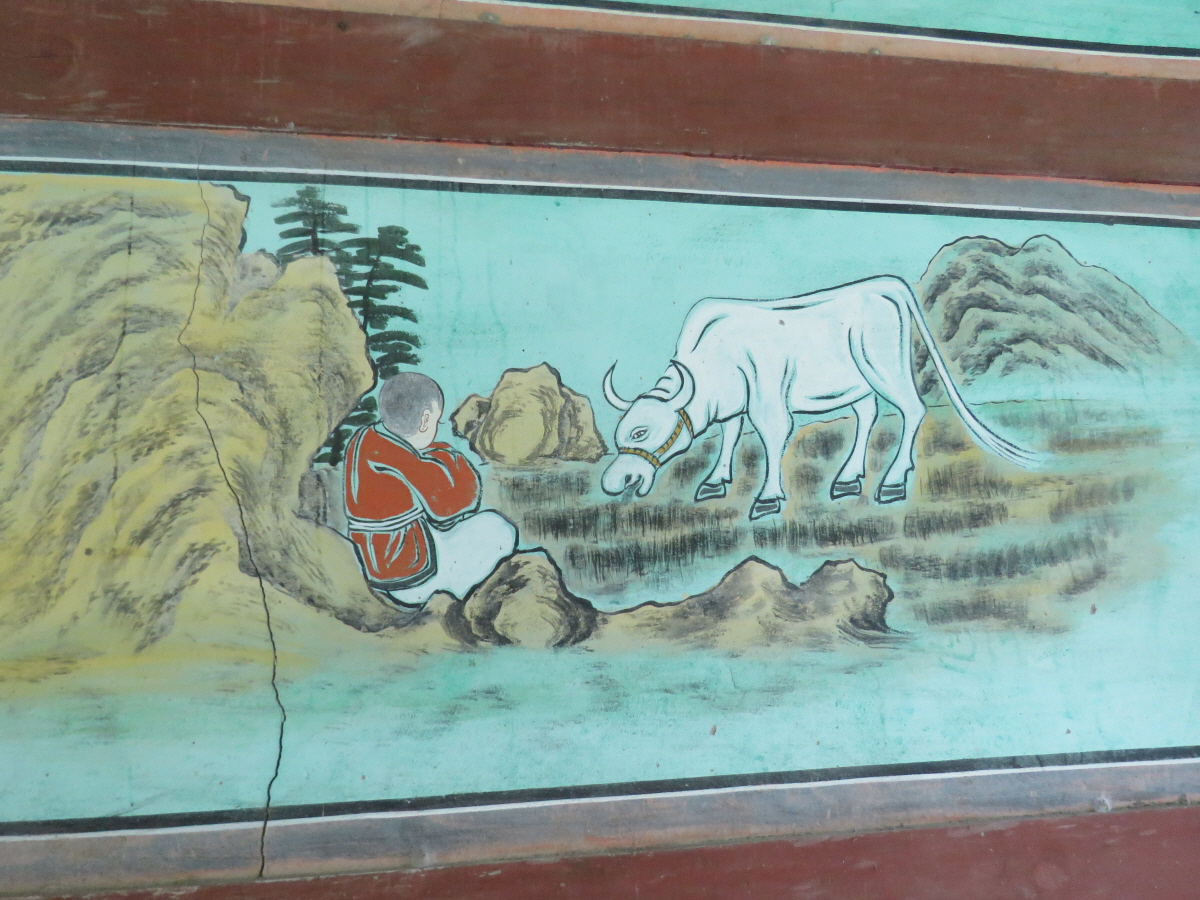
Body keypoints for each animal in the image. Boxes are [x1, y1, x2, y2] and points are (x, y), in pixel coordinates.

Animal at [599, 275, 1040, 520]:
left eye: (640, 432)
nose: (611, 481)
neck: (713, 364)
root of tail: (883, 284)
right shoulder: (733, 405)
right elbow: (729, 433)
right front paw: (714, 481)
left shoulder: (767, 396)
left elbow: (772, 436)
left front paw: (767, 499)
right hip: (858, 378)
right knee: (867, 413)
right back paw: (847, 478)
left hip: (882, 364)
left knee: (912, 409)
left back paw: (893, 481)